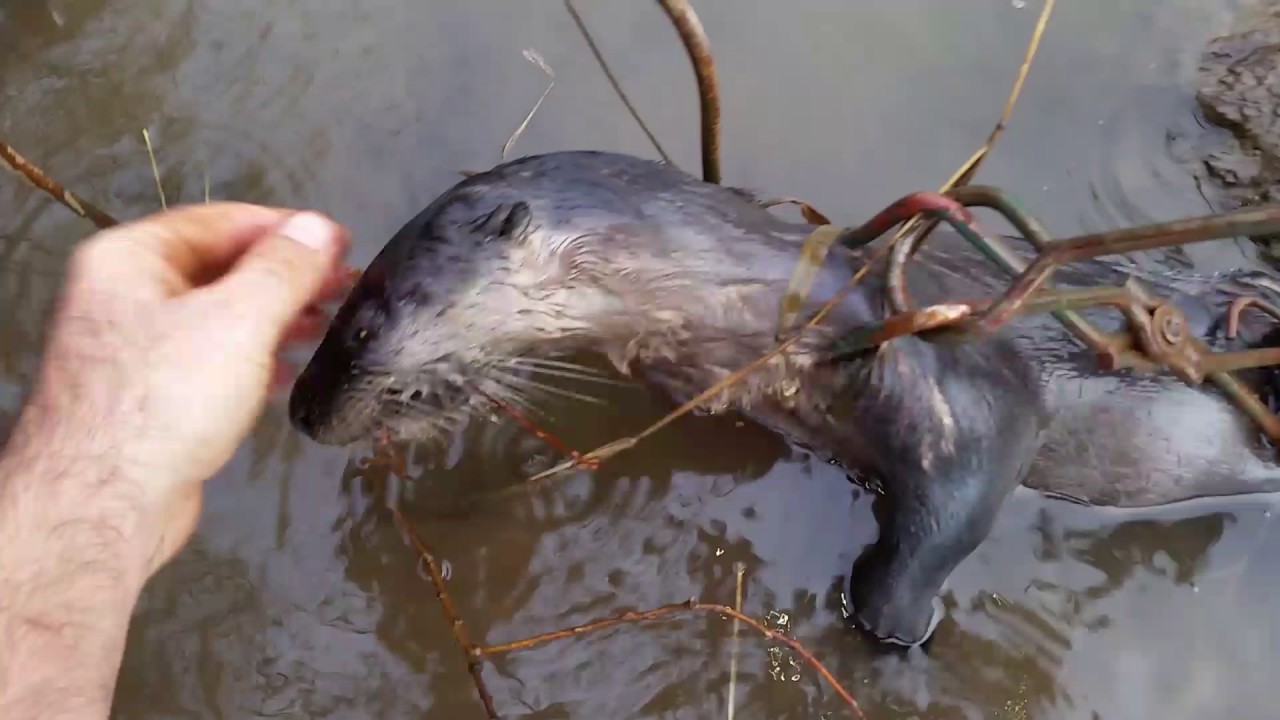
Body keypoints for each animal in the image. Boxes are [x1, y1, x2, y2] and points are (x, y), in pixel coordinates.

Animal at [288, 150, 1280, 648]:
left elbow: (971, 481)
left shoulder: (960, 376)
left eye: (364, 319)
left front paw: (893, 623)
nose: (302, 408)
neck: (763, 304)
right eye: (339, 305)